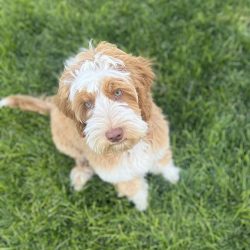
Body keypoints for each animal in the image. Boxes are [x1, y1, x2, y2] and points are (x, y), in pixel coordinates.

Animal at [0, 42, 180, 210]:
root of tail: (52, 106)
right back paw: (80, 176)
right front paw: (142, 204)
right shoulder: (119, 174)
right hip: (64, 144)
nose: (115, 135)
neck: (129, 148)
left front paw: (173, 176)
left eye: (117, 92)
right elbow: (133, 188)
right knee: (79, 158)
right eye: (87, 104)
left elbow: (163, 163)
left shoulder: (159, 145)